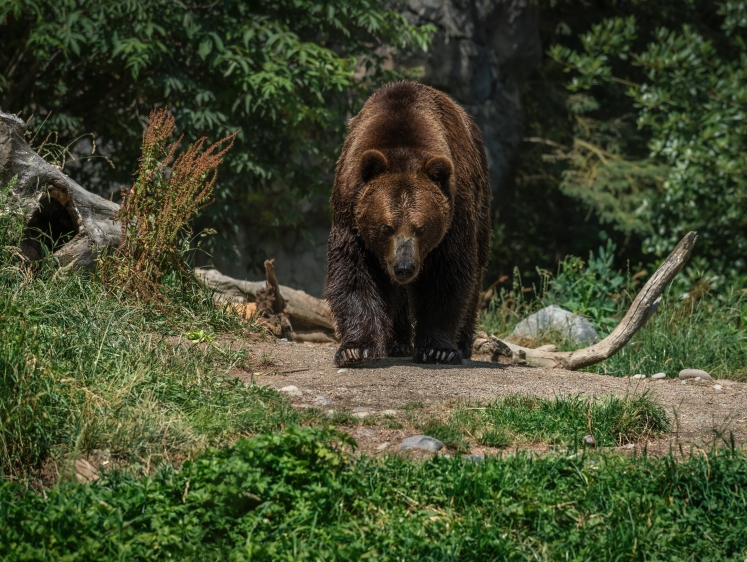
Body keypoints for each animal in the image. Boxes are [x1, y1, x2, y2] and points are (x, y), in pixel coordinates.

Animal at [326, 80, 490, 368]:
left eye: (421, 228)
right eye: (386, 227)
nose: (404, 267)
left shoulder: (455, 213)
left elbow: (447, 275)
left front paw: (438, 350)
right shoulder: (351, 209)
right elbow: (354, 271)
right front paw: (356, 349)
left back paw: (461, 344)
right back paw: (397, 342)